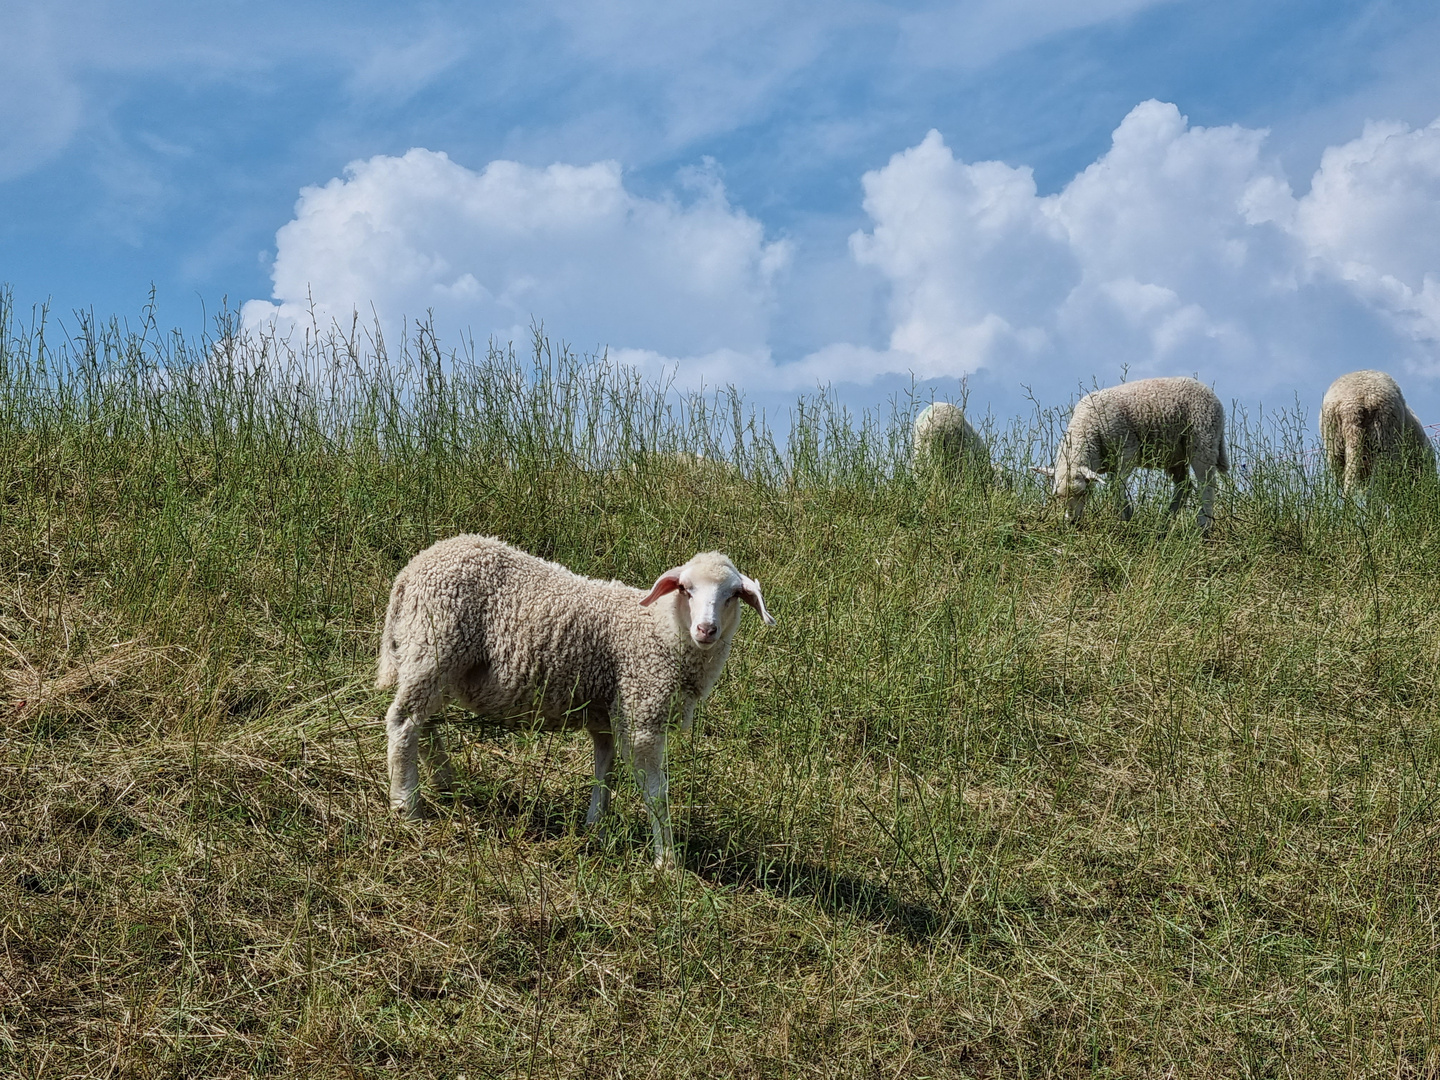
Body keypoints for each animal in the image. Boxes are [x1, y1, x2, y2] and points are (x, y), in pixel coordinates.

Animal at [374, 538, 777, 875]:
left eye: (732, 595)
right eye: (685, 590)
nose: (706, 630)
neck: (660, 628)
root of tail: (411, 570)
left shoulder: (607, 711)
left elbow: (605, 768)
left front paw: (595, 826)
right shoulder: (642, 709)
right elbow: (655, 791)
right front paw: (667, 861)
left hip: (436, 661)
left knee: (425, 723)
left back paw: (445, 783)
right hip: (435, 644)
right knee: (404, 723)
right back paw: (406, 806)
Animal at [1036, 377, 1226, 535]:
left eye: (1083, 493)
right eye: (1058, 497)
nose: (1072, 522)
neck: (1088, 428)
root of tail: (1211, 394)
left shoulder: (1127, 451)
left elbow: (1116, 486)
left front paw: (1122, 518)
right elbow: (1116, 485)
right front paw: (1127, 514)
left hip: (1203, 440)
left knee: (1207, 485)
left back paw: (1203, 527)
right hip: (1174, 455)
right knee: (1184, 486)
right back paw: (1164, 523)